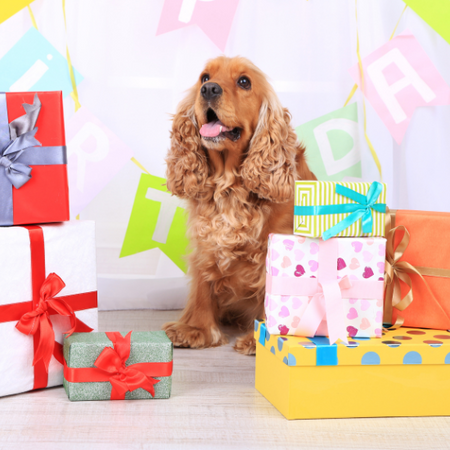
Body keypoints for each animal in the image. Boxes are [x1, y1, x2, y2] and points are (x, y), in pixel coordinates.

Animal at [163, 56, 316, 354]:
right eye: (204, 77)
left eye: (244, 81)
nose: (209, 89)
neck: (230, 183)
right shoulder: (206, 238)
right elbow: (202, 285)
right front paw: (196, 329)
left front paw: (263, 337)